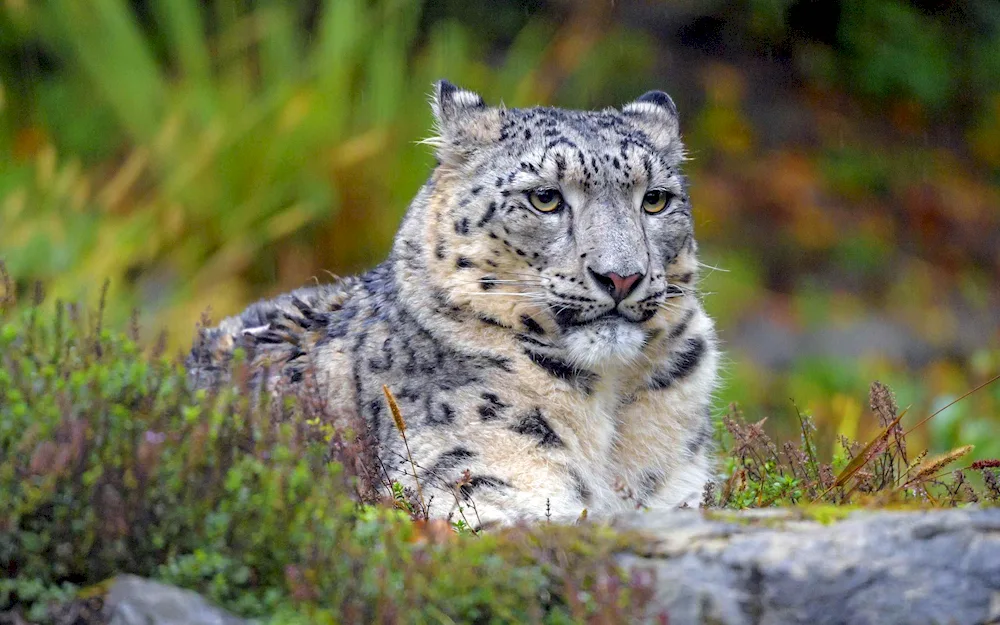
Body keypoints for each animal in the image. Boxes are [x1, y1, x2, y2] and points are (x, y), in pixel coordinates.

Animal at [188, 79, 720, 528]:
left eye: (655, 200)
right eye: (545, 198)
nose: (621, 276)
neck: (609, 411)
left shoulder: (681, 489)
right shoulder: (480, 485)